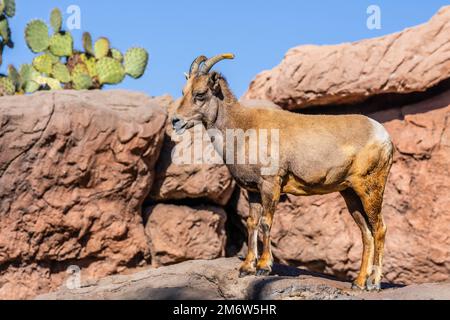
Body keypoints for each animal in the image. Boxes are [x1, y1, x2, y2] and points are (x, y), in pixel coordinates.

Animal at [172, 53, 394, 290]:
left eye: (200, 94)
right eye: (183, 91)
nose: (176, 121)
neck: (244, 130)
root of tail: (383, 136)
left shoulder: (271, 185)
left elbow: (266, 223)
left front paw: (263, 267)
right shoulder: (253, 192)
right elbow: (252, 224)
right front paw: (247, 268)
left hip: (370, 189)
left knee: (379, 229)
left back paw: (373, 283)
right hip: (350, 194)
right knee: (366, 233)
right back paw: (358, 283)